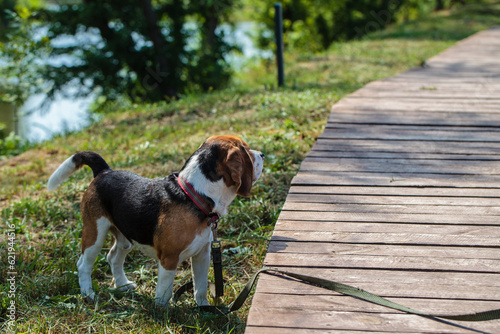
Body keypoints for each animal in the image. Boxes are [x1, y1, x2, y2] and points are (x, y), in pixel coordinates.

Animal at [48, 135, 264, 306]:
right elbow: (165, 292)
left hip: (125, 238)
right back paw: (88, 293)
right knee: (83, 264)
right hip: (95, 234)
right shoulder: (169, 259)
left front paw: (204, 308)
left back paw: (122, 285)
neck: (195, 194)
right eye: (246, 150)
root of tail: (104, 171)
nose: (262, 154)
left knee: (113, 257)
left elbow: (201, 287)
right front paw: (162, 313)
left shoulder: (202, 255)